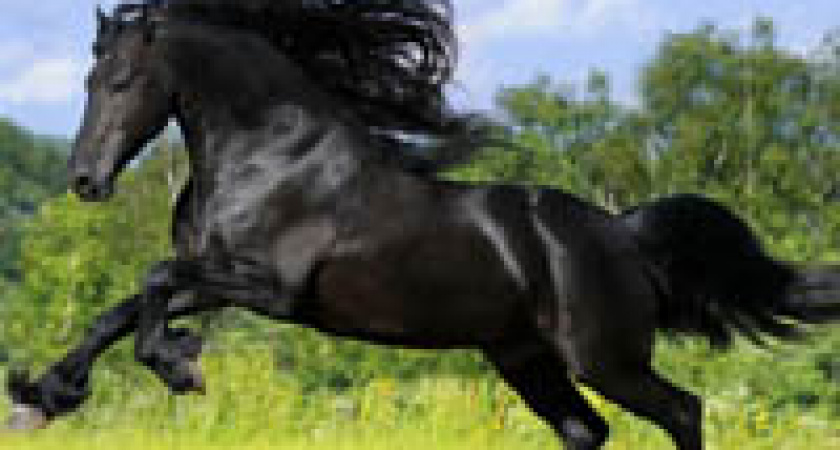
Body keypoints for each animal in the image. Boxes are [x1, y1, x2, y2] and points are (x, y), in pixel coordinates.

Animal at [6, 2, 840, 449]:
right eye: (86, 79)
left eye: (122, 80)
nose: (85, 181)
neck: (268, 155)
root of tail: (622, 235)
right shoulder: (220, 281)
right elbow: (123, 307)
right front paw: (45, 394)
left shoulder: (270, 290)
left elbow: (150, 284)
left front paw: (180, 365)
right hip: (525, 359)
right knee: (585, 431)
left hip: (604, 357)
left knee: (681, 409)